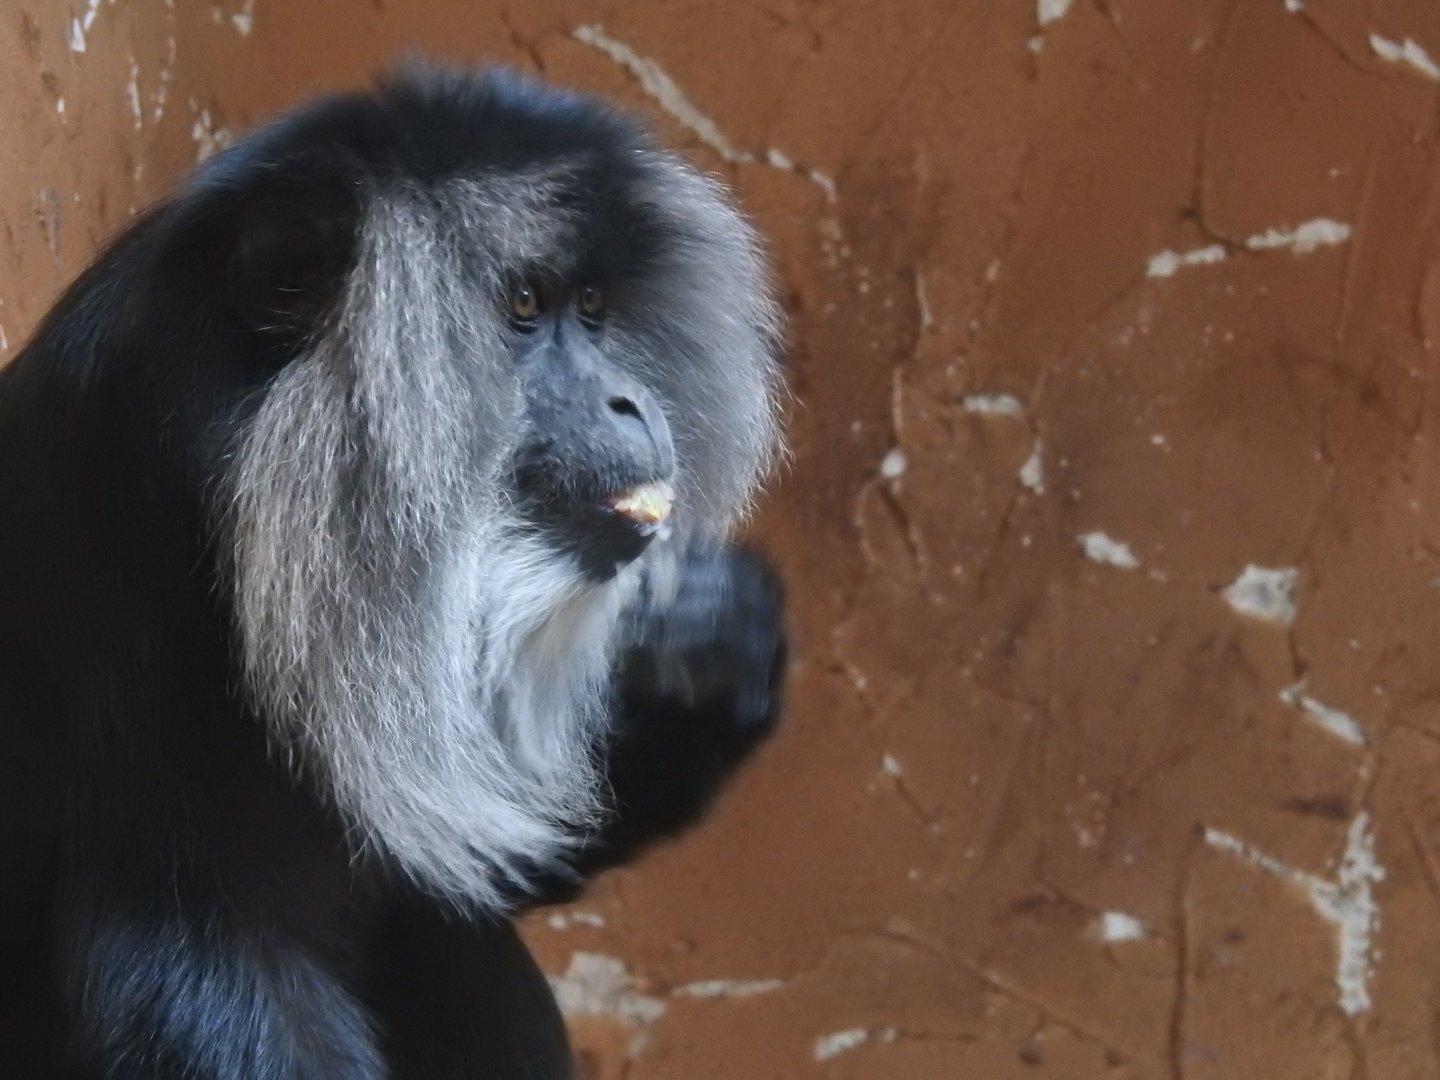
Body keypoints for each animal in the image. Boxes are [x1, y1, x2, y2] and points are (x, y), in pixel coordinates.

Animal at [0, 65, 786, 1078]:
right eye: (524, 305)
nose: (628, 400)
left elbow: (483, 867)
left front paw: (716, 642)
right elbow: (185, 952)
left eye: (594, 308)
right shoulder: (117, 520)